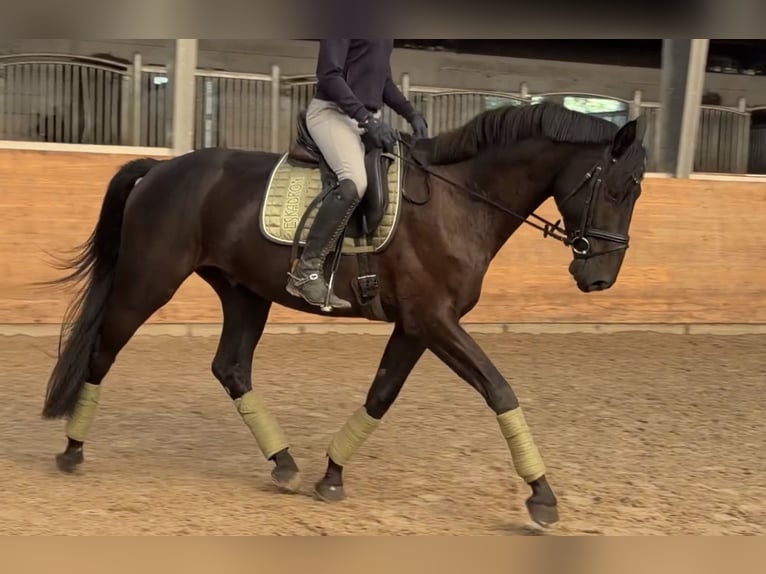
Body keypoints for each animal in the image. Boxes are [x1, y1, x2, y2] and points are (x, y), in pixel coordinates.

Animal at [40, 101, 647, 527]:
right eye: (618, 188)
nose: (599, 279)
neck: (461, 200)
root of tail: (162, 169)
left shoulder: (417, 326)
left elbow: (381, 395)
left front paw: (331, 474)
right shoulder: (435, 321)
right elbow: (499, 389)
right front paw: (542, 495)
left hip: (245, 293)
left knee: (231, 368)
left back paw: (284, 464)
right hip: (148, 283)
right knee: (103, 350)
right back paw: (72, 450)